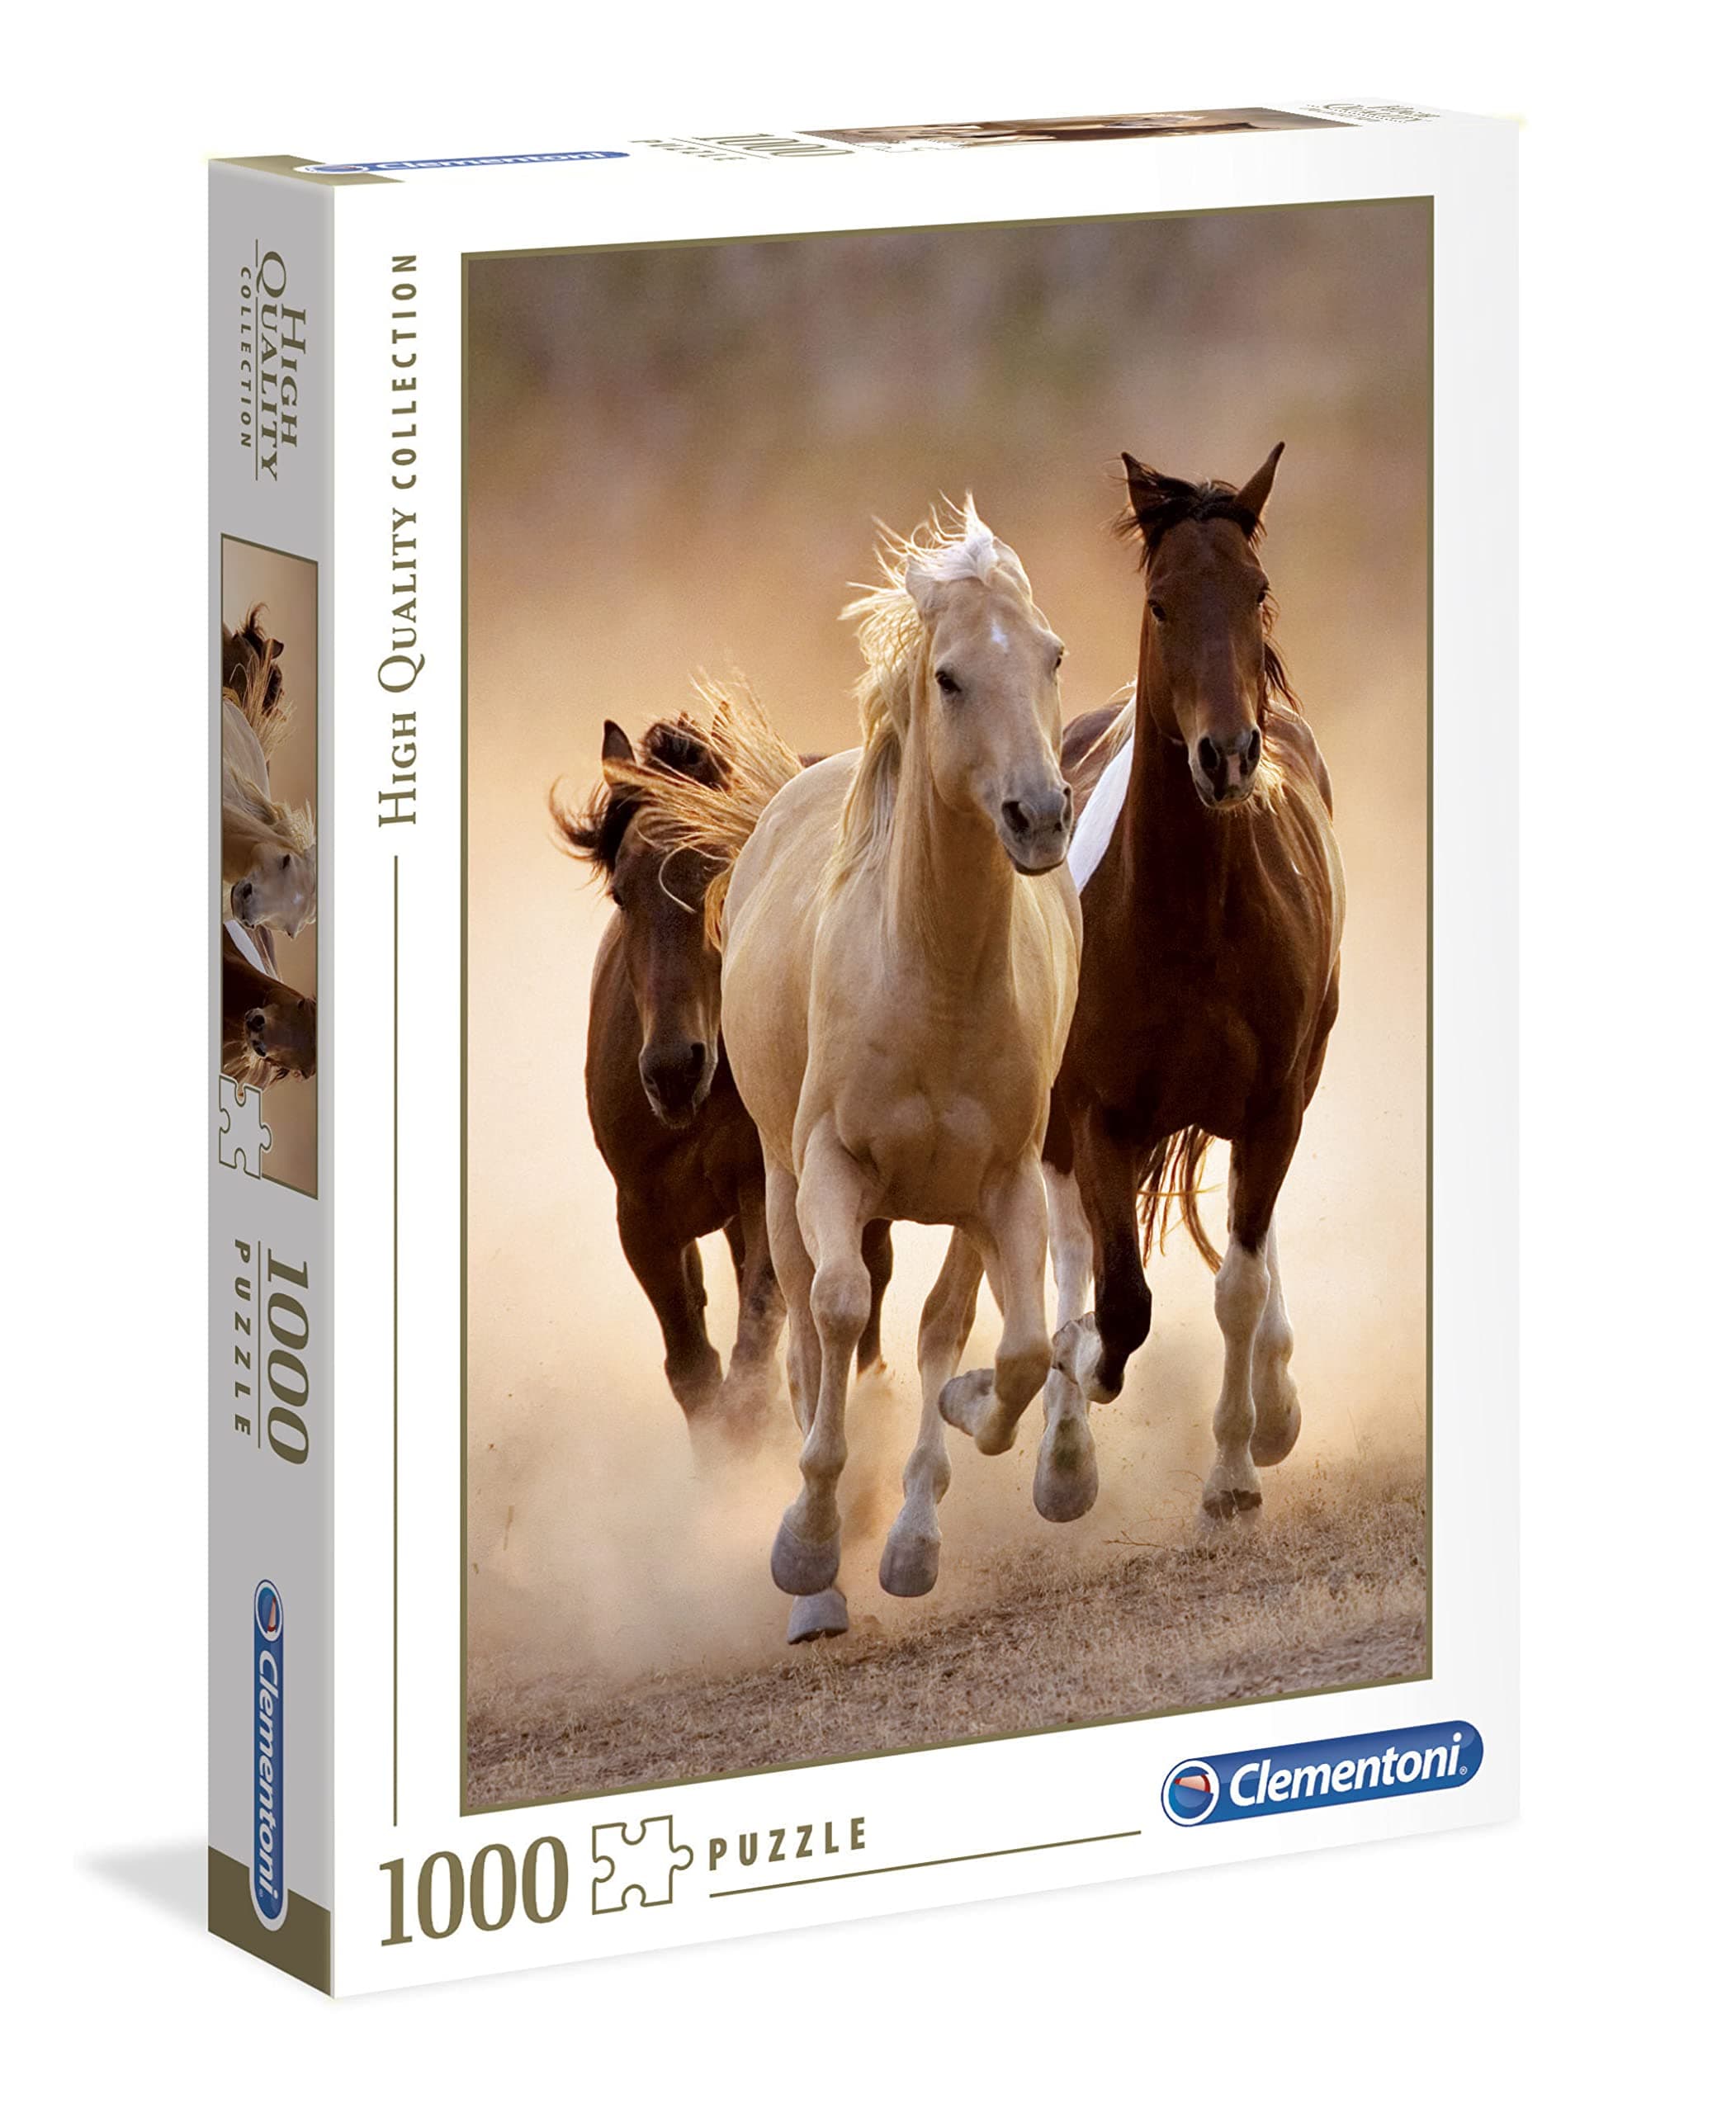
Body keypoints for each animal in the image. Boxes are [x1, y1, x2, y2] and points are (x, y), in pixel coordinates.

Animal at [552, 709, 893, 1450]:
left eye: (724, 875)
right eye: (622, 892)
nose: (673, 1070)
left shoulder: (763, 1191)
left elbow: (751, 1362)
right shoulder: (642, 1217)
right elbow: (694, 1371)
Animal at [632, 506, 1080, 1641]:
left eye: (1052, 655)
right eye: (951, 677)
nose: (1041, 816)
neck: (933, 977)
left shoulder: (1005, 1183)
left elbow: (1007, 1348)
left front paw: (948, 1474)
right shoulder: (830, 1169)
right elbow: (835, 1315)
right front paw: (807, 1549)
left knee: (941, 1328)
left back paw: (913, 1530)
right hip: (782, 1187)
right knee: (805, 1332)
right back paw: (821, 1580)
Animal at [1038, 445, 1344, 1528]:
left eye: (1255, 590)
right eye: (1162, 603)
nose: (1227, 755)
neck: (1190, 918)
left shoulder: (1273, 1105)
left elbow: (1237, 1287)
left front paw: (1236, 1469)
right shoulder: (1096, 1111)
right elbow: (1119, 1299)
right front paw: (1078, 1385)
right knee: (1070, 1248)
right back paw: (1062, 1447)